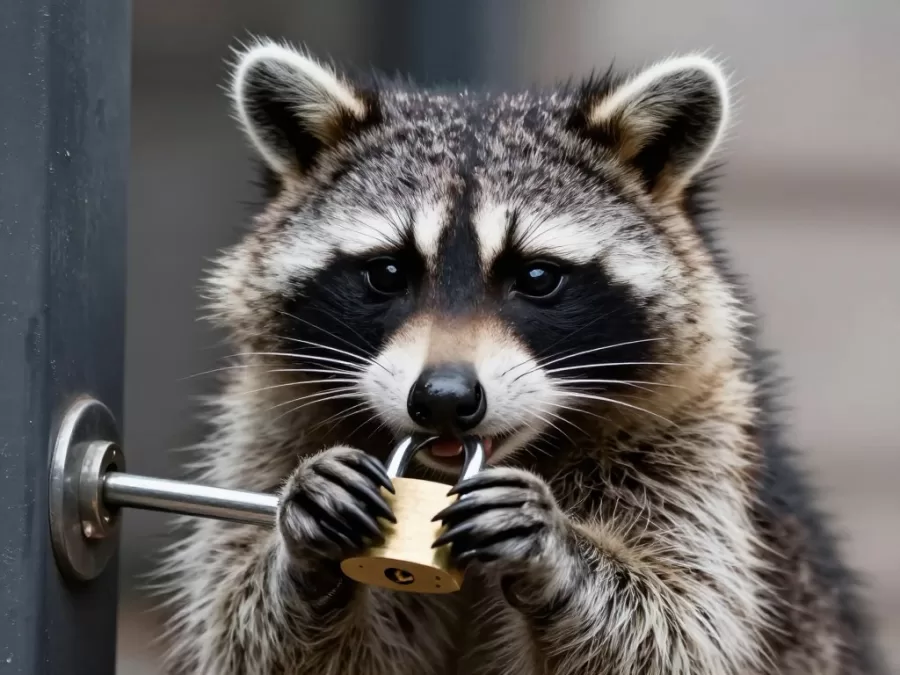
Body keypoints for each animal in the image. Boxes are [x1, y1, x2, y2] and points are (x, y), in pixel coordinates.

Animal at [157, 39, 886, 675]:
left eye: (537, 278)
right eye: (387, 273)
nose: (443, 398)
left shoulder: (695, 446)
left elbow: (680, 622)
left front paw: (558, 554)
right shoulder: (270, 422)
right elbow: (247, 628)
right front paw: (305, 549)